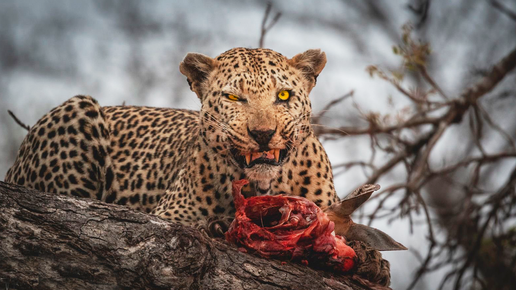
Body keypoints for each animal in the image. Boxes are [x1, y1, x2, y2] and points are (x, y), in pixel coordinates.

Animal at [5, 48, 400, 286]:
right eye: (233, 97)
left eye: (284, 96)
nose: (262, 134)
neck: (264, 187)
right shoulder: (169, 216)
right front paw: (220, 225)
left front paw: (371, 259)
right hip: (78, 106)